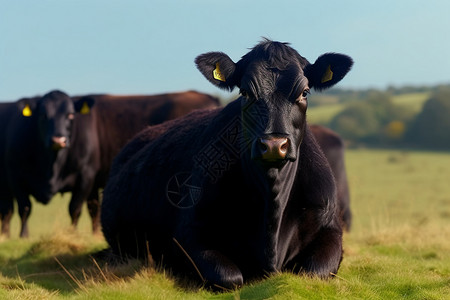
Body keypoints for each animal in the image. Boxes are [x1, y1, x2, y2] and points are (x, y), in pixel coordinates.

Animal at [1, 89, 220, 237]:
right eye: (43, 115)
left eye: (70, 115)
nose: (58, 139)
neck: (53, 165)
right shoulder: (14, 177)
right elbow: (25, 208)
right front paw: (23, 237)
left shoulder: (85, 176)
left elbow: (75, 208)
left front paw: (73, 235)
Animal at [101, 39, 352, 288]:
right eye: (245, 92)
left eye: (304, 92)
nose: (273, 144)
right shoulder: (189, 235)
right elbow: (229, 277)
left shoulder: (330, 228)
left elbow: (314, 272)